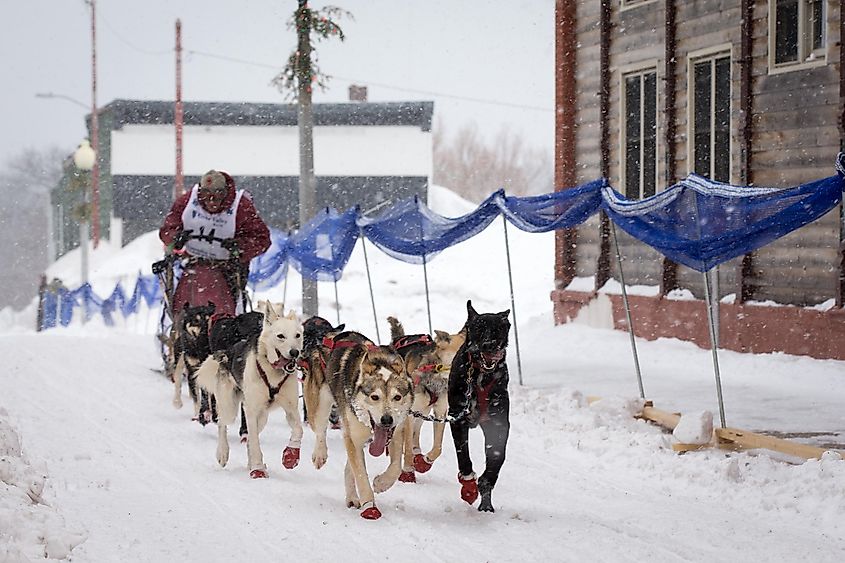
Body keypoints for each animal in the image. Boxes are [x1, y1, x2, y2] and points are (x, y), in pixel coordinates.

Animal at [196, 304, 304, 480]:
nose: (295, 352)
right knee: (222, 424)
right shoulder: (251, 411)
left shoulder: (291, 408)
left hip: (263, 416)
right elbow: (253, 441)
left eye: (297, 335)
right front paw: (258, 469)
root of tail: (228, 352)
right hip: (230, 408)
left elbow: (299, 430)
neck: (272, 371)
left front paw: (291, 456)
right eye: (280, 336)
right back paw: (223, 453)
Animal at [314, 330, 414, 520]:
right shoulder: (353, 436)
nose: (386, 420)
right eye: (374, 397)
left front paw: (381, 483)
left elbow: (396, 467)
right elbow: (360, 474)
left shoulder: (396, 433)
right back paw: (319, 454)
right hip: (323, 403)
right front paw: (369, 505)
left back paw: (352, 497)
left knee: (349, 467)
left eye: (397, 397)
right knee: (320, 429)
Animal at [448, 302, 508, 512]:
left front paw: (485, 486)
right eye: (479, 329)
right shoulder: (457, 419)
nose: (489, 344)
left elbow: (497, 458)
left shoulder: (499, 424)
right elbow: (463, 456)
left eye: (497, 329)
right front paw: (469, 486)